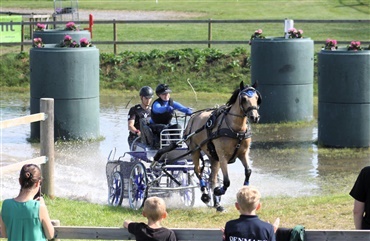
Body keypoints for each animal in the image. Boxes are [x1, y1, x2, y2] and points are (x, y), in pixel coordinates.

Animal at [184, 81, 262, 211]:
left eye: (256, 98)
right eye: (244, 99)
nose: (254, 117)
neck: (236, 129)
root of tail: (194, 117)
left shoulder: (243, 153)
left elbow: (248, 171)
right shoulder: (223, 157)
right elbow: (226, 181)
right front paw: (219, 191)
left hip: (213, 157)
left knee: (212, 178)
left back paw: (217, 204)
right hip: (195, 150)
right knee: (198, 171)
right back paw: (205, 195)